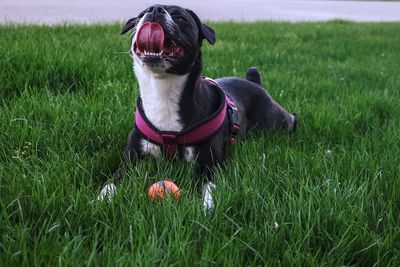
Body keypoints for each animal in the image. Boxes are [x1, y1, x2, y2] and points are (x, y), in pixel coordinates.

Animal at [98, 4, 296, 214]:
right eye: (141, 15)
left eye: (181, 18)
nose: (155, 9)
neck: (163, 91)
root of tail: (254, 81)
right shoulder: (131, 158)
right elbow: (113, 180)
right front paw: (102, 199)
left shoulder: (210, 166)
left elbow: (209, 189)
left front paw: (206, 210)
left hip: (275, 120)